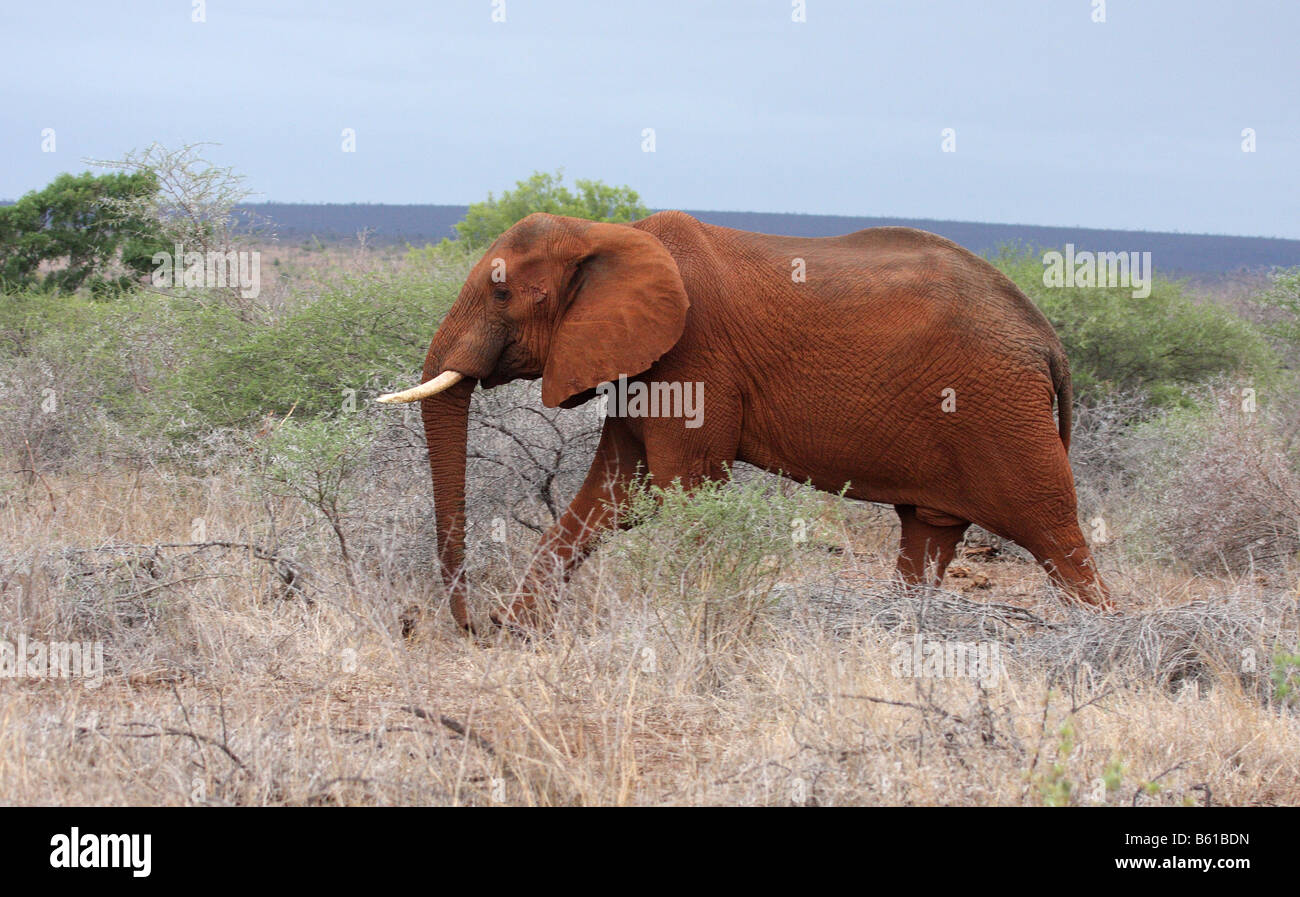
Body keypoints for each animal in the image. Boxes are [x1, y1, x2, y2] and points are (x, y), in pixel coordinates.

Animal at [378, 211, 1111, 630]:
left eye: (501, 291)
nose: (475, 624)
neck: (605, 234)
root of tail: (1048, 339)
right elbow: (612, 496)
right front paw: (520, 635)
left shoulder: (692, 352)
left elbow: (686, 491)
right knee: (928, 537)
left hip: (1002, 412)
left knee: (1056, 537)